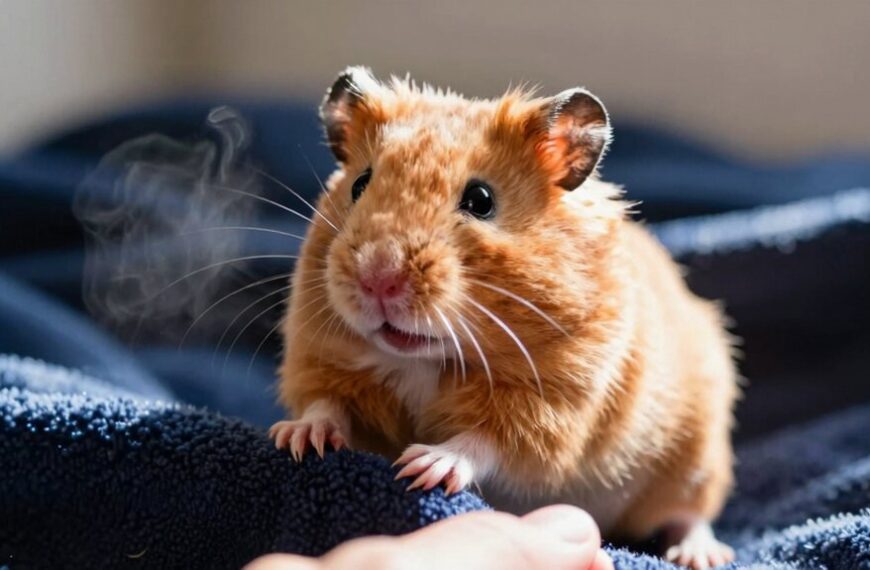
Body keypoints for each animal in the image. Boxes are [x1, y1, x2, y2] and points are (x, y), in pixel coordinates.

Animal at [269, 67, 739, 569]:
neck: (425, 360)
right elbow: (326, 403)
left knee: (689, 513)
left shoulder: (553, 405)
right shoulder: (322, 362)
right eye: (359, 184)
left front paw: (423, 467)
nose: (378, 279)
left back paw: (699, 555)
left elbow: (486, 441)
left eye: (480, 200)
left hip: (694, 455)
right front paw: (295, 439)